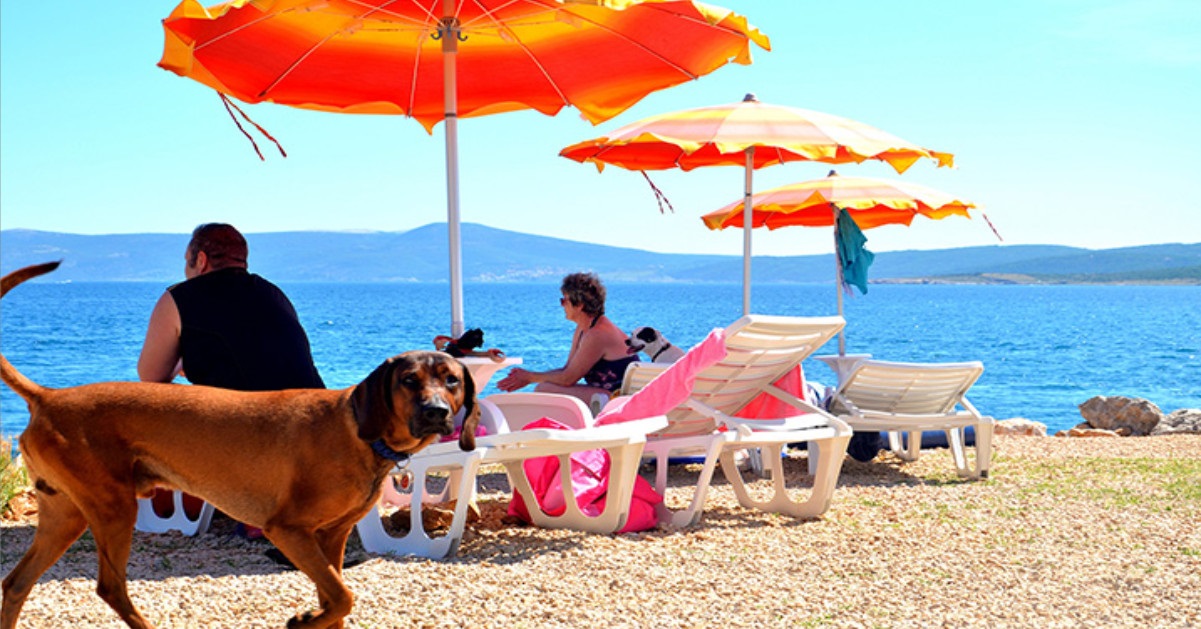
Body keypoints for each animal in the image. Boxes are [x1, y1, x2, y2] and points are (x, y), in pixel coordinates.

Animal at [0, 260, 477, 629]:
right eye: (409, 380)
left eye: (452, 379)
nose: (436, 411)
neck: (359, 431)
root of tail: (49, 396)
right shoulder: (288, 530)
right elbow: (343, 597)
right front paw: (303, 619)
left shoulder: (331, 537)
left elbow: (336, 600)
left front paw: (314, 616)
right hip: (112, 507)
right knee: (110, 585)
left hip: (65, 514)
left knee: (16, 582)